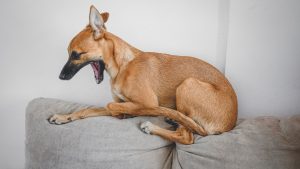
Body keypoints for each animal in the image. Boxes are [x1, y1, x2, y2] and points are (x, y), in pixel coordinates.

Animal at [48, 5, 237, 145]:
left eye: (76, 54)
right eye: (69, 53)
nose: (61, 77)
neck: (122, 66)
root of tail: (230, 123)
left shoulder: (148, 102)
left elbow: (112, 105)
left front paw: (132, 113)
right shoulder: (119, 102)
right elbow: (89, 109)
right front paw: (63, 117)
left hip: (187, 84)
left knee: (187, 137)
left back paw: (153, 126)